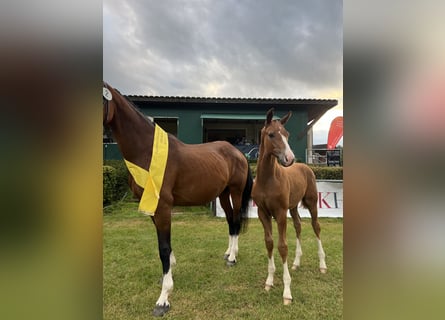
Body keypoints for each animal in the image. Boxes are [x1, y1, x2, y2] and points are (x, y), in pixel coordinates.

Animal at [102, 81, 251, 316]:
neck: (147, 151)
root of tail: (238, 153)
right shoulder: (153, 208)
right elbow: (166, 245)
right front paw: (168, 273)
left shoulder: (163, 207)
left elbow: (163, 248)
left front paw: (163, 298)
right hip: (223, 194)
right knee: (229, 221)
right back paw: (228, 253)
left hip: (235, 192)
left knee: (235, 221)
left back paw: (233, 258)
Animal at [251, 107, 328, 304]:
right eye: (271, 134)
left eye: (287, 134)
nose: (289, 158)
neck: (267, 179)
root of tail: (305, 167)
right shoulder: (263, 213)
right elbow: (269, 243)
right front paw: (269, 281)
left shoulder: (280, 213)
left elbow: (282, 246)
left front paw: (287, 292)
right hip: (293, 208)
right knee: (299, 226)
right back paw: (296, 263)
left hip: (312, 203)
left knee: (316, 227)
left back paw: (322, 265)